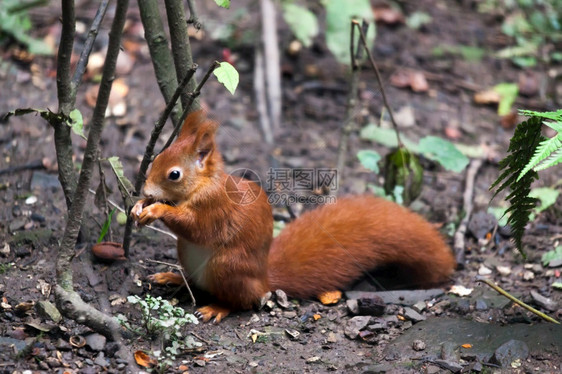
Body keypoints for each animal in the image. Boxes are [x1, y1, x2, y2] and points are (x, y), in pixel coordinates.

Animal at [131, 109, 456, 322]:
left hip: (228, 267)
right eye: (156, 157)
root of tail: (264, 280)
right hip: (188, 256)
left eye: (174, 174)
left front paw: (156, 209)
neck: (202, 185)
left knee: (241, 301)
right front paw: (140, 205)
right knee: (197, 283)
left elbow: (196, 227)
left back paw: (216, 308)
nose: (144, 188)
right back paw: (172, 276)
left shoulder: (215, 207)